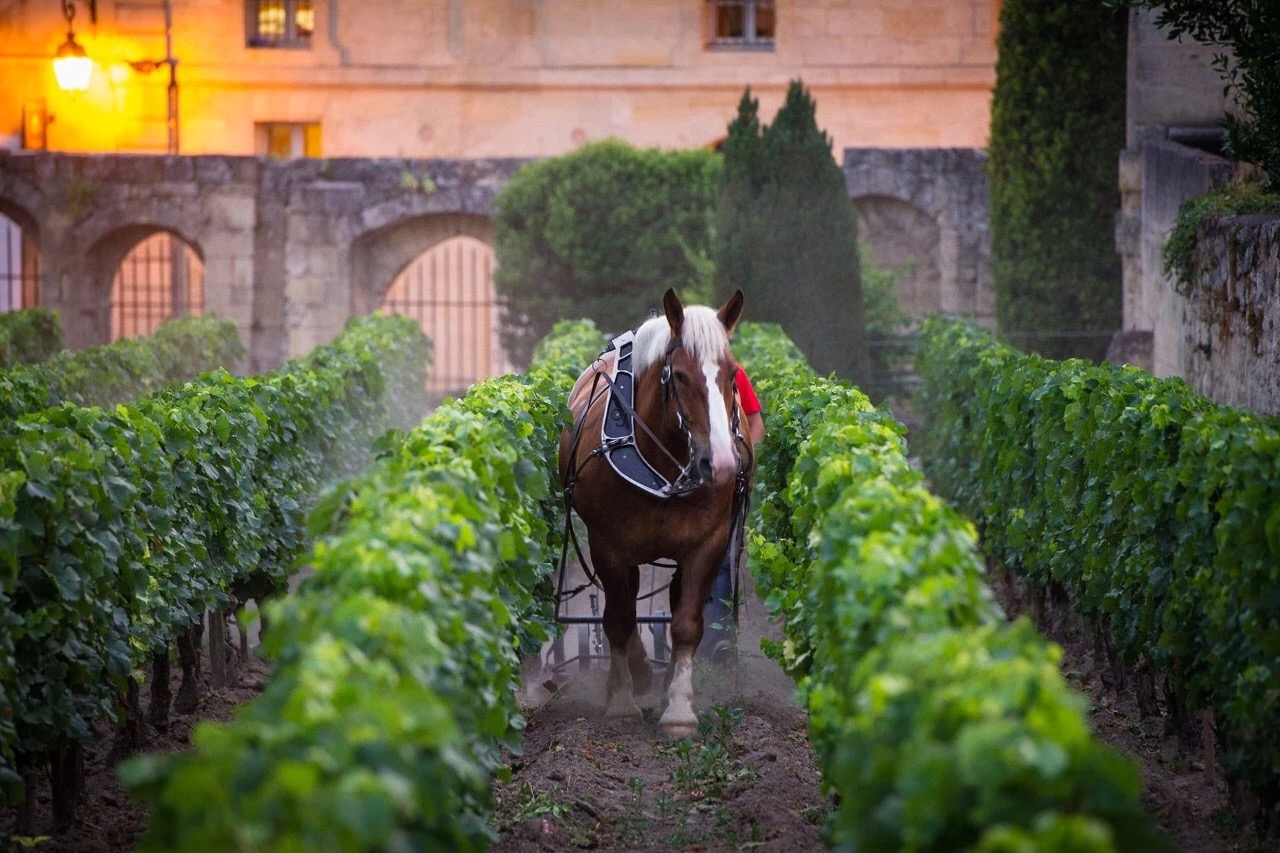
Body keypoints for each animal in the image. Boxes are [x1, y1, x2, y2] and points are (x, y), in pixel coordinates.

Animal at [558, 285, 747, 732]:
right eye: (680, 375)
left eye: (732, 374)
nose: (721, 465)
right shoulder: (607, 545)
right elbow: (618, 618)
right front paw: (622, 699)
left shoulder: (707, 544)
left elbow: (686, 622)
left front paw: (679, 710)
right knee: (624, 607)